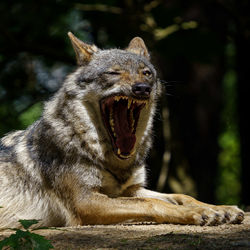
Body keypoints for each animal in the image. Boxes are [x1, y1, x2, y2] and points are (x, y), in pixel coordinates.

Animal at [0, 32, 243, 228]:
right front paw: (198, 213)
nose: (142, 88)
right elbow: (151, 203)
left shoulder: (131, 189)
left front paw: (218, 208)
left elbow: (180, 195)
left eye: (146, 73)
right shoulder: (85, 201)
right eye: (113, 73)